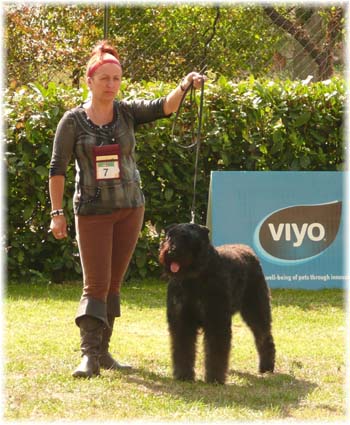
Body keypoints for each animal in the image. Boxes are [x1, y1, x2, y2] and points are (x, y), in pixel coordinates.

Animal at [159, 224, 276, 382]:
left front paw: (214, 378)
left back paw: (266, 367)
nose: (171, 251)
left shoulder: (216, 321)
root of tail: (248, 250)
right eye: (169, 236)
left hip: (256, 309)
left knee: (264, 336)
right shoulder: (182, 321)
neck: (193, 278)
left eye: (187, 238)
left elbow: (216, 351)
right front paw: (183, 375)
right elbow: (183, 348)